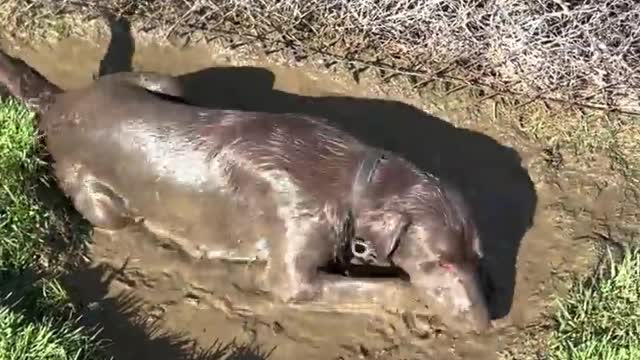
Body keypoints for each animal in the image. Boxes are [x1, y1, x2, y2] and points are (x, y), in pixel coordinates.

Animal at [0, 48, 492, 334]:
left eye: (476, 258)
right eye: (440, 262)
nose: (486, 323)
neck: (356, 184)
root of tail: (60, 102)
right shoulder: (293, 277)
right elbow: (387, 287)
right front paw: (417, 301)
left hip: (168, 83)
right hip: (98, 199)